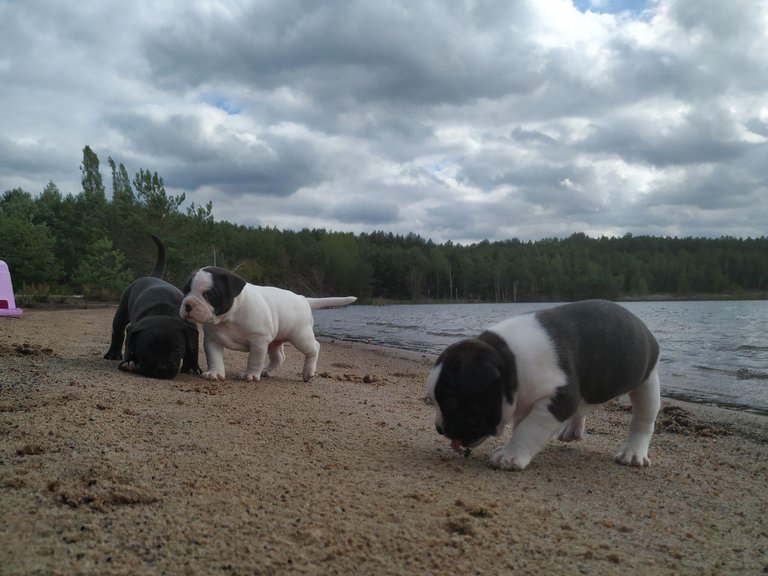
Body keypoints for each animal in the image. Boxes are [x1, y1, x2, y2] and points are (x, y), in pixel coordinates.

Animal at [104, 234, 201, 378]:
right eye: (147, 348)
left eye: (177, 349)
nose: (162, 369)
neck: (163, 311)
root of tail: (153, 276)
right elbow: (129, 345)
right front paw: (129, 361)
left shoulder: (192, 329)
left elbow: (193, 348)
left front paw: (191, 367)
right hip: (121, 313)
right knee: (118, 332)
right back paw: (113, 354)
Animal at [179, 266, 356, 382]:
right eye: (185, 290)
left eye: (210, 294)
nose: (188, 304)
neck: (228, 317)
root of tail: (303, 299)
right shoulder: (212, 340)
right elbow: (214, 357)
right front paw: (215, 372)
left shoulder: (258, 340)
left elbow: (255, 359)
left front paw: (250, 374)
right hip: (275, 341)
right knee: (279, 357)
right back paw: (269, 371)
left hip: (300, 336)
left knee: (314, 348)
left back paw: (308, 372)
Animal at [426, 300, 660, 470]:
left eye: (449, 401)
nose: (438, 428)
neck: (509, 360)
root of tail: (640, 323)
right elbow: (522, 426)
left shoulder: (557, 399)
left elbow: (528, 429)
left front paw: (510, 455)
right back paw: (572, 429)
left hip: (647, 380)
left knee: (643, 419)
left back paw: (633, 454)